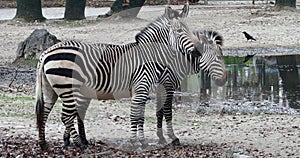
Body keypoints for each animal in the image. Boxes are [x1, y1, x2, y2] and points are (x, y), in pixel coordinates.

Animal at [35, 4, 226, 151]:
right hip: (67, 88)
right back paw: (80, 145)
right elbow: (146, 114)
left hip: (52, 89)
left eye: (190, 30)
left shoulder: (147, 90)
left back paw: (45, 144)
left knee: (45, 113)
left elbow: (144, 115)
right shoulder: (152, 87)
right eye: (179, 31)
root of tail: (46, 52)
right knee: (66, 116)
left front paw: (145, 141)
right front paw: (141, 142)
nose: (196, 52)